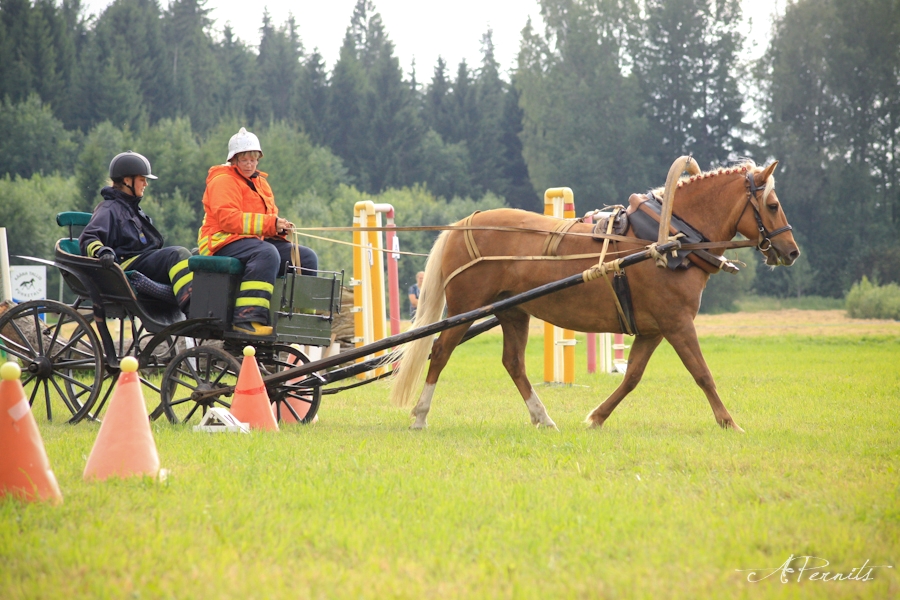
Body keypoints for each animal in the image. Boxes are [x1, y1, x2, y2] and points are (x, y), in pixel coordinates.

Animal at [390, 159, 800, 432]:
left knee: (513, 363)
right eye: (773, 205)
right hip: (466, 307)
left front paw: (597, 417)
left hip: (513, 311)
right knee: (440, 352)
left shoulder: (654, 329)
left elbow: (632, 376)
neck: (668, 238)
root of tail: (464, 223)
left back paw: (543, 418)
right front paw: (729, 422)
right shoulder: (677, 323)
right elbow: (702, 374)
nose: (792, 251)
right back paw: (420, 416)